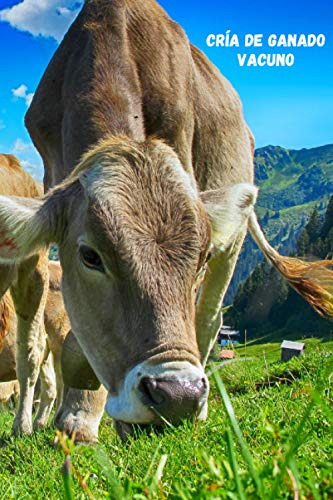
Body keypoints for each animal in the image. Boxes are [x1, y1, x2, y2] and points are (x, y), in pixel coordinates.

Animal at [1, 0, 330, 440]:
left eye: (200, 259)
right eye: (90, 256)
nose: (178, 395)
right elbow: (75, 339)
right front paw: (78, 419)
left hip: (234, 234)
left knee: (209, 317)